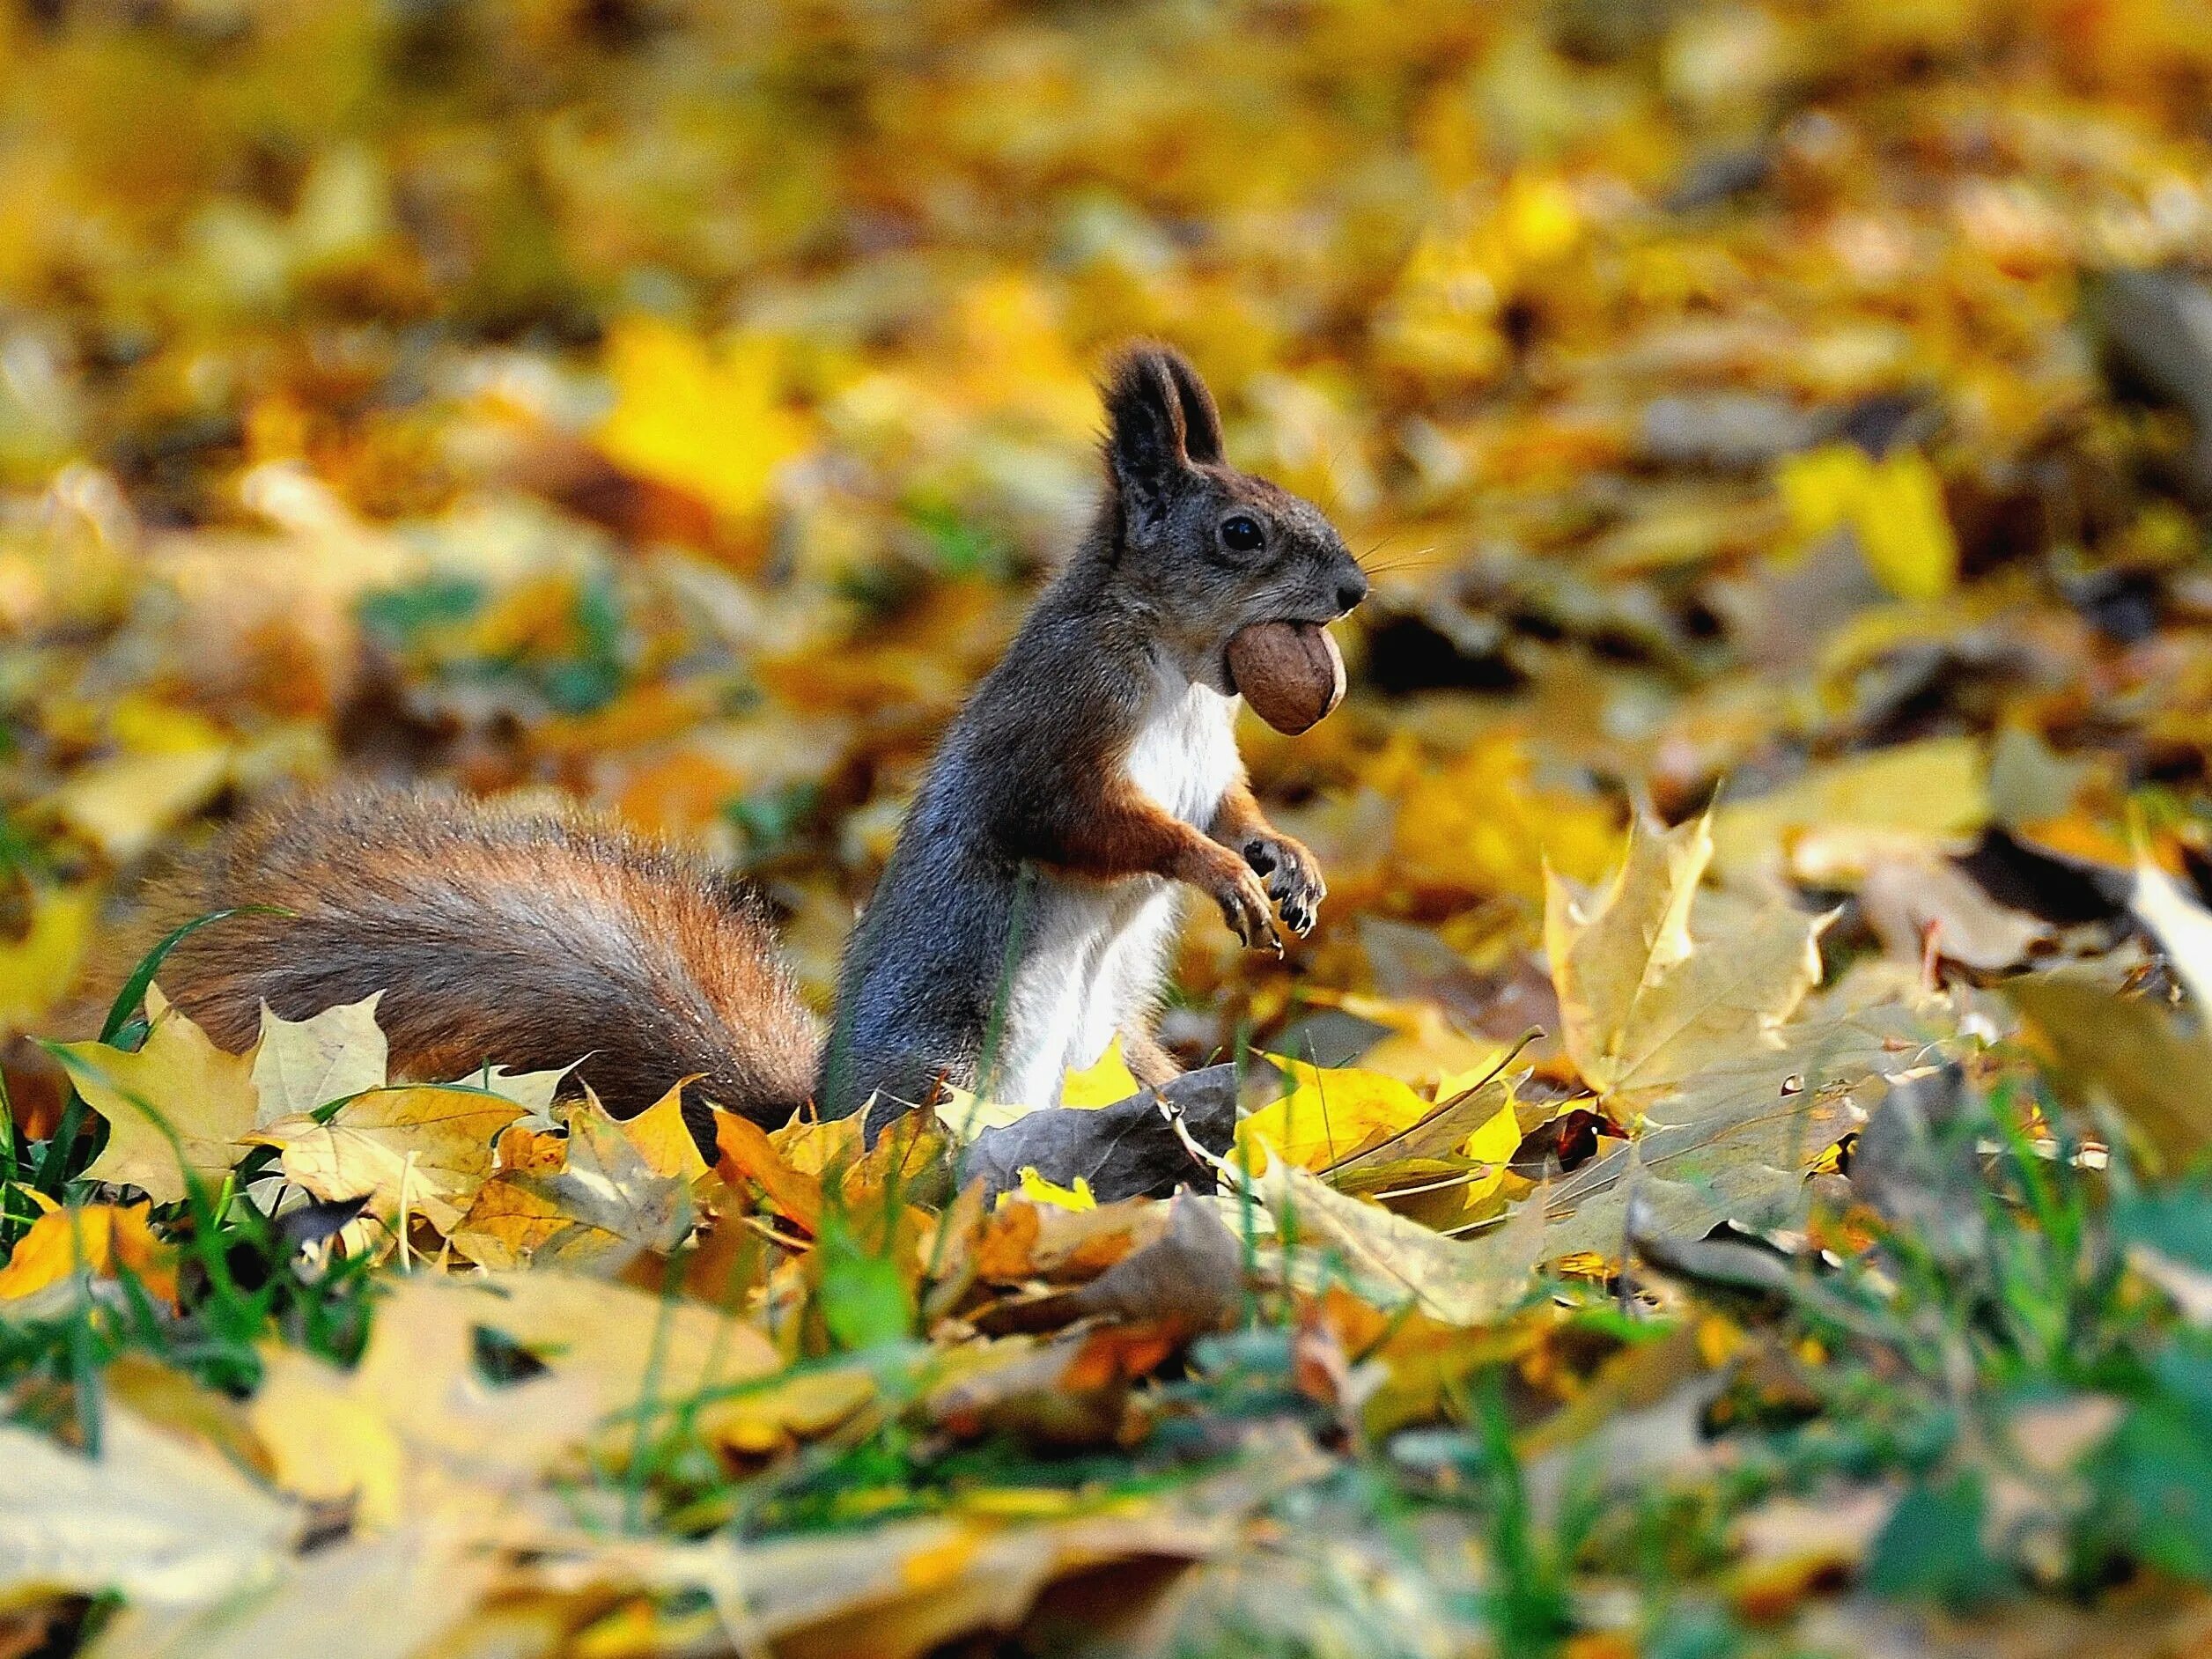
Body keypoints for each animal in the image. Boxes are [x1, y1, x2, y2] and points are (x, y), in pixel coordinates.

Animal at [138, 344, 1362, 1141]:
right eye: (1240, 532)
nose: (1352, 590)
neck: (1180, 673)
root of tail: (815, 1117)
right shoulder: (1057, 726)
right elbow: (1095, 823)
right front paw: (1218, 873)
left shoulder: (1208, 759)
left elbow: (1229, 806)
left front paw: (1287, 861)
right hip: (943, 1068)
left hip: (1120, 1053)